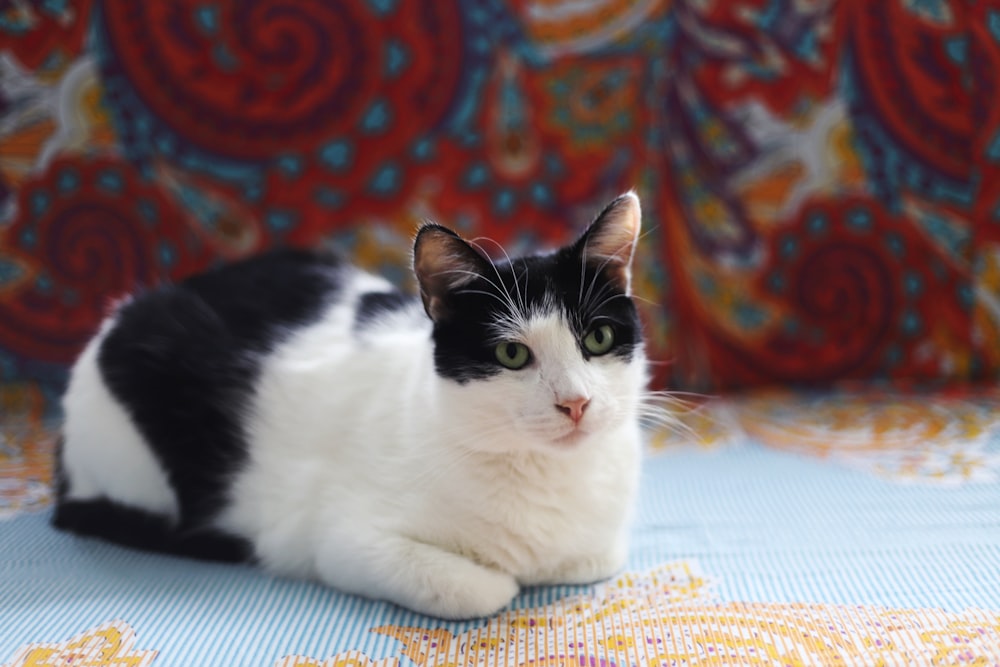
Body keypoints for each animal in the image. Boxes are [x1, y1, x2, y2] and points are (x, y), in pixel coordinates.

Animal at [52, 192, 648, 620]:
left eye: (596, 339)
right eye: (512, 353)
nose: (575, 402)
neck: (548, 476)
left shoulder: (599, 545)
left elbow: (589, 558)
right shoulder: (344, 542)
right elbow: (481, 589)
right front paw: (501, 577)